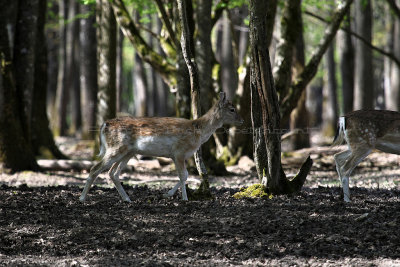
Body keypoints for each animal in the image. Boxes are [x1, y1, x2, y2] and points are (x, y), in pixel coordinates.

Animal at [79, 92, 244, 203]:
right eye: (232, 109)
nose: (241, 120)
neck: (198, 132)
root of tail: (104, 125)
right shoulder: (179, 151)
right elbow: (183, 175)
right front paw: (184, 198)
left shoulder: (177, 155)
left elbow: (185, 175)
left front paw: (168, 194)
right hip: (116, 148)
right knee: (95, 168)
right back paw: (82, 198)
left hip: (127, 152)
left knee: (113, 173)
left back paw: (127, 199)